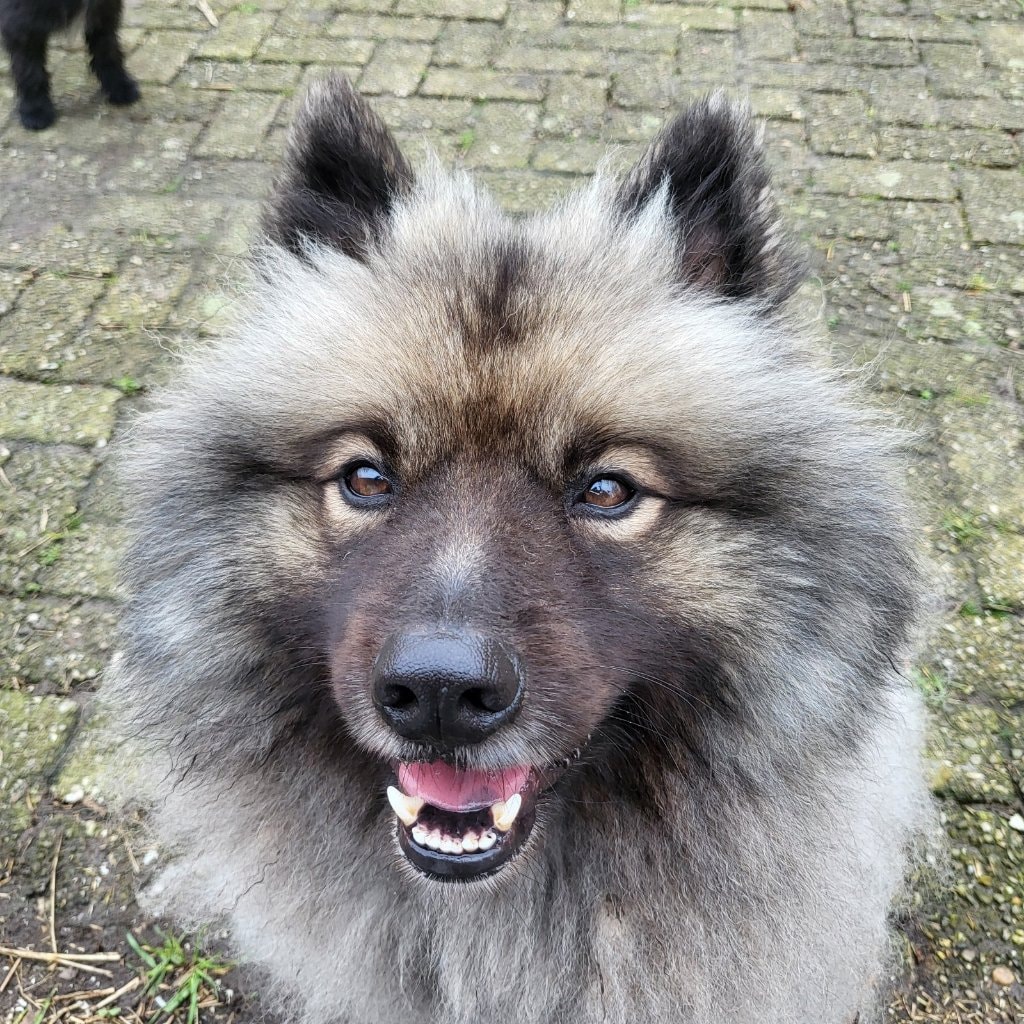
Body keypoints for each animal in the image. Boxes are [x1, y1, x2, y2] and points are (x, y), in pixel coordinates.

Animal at [0, 0, 139, 130]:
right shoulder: (23, 24)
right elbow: (30, 72)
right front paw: (35, 109)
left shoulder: (103, 11)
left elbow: (108, 50)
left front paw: (119, 86)